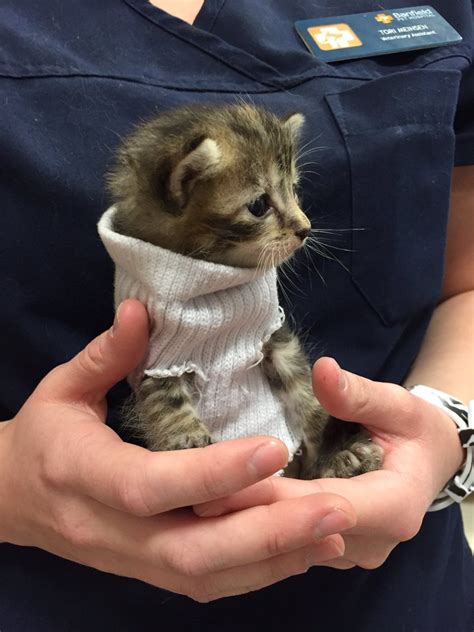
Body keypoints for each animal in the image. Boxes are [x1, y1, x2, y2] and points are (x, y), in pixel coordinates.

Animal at [104, 105, 382, 478]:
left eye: (294, 191)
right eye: (259, 205)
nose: (305, 228)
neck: (212, 280)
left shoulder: (275, 336)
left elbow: (305, 394)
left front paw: (331, 448)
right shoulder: (158, 357)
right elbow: (165, 400)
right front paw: (186, 437)